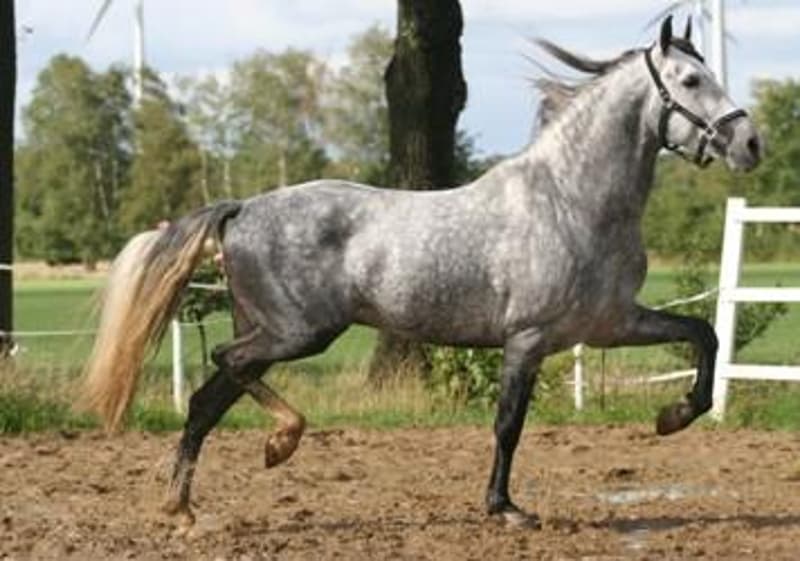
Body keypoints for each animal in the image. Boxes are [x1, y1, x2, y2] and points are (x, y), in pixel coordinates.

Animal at [82, 16, 761, 530]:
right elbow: (508, 424)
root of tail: (242, 207)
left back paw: (185, 507)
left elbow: (704, 334)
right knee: (225, 364)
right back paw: (278, 443)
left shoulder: (609, 325)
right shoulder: (529, 339)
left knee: (207, 398)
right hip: (297, 333)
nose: (751, 144)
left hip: (272, 332)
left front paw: (674, 417)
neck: (570, 200)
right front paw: (504, 509)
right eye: (692, 79)